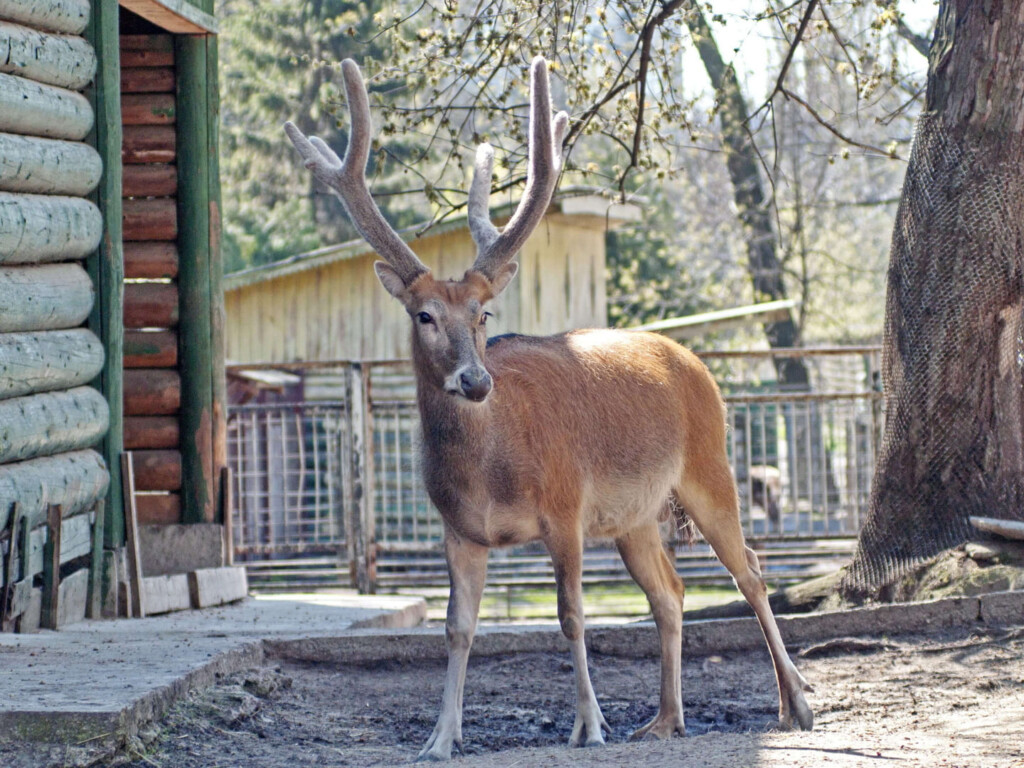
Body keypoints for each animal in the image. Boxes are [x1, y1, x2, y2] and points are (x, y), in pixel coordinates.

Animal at [285, 55, 813, 762]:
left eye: (483, 315)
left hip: (711, 469)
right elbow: (457, 628)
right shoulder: (458, 530)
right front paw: (439, 737)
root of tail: (696, 362)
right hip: (636, 517)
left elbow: (570, 616)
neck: (490, 473)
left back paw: (796, 703)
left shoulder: (566, 507)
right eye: (423, 315)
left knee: (751, 572)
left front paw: (588, 725)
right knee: (670, 592)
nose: (475, 380)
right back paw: (665, 718)